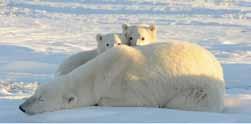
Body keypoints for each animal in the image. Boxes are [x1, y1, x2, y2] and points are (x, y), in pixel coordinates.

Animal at [18, 41, 225, 114]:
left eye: (42, 99)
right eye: (35, 94)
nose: (22, 107)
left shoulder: (132, 85)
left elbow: (140, 100)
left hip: (202, 89)